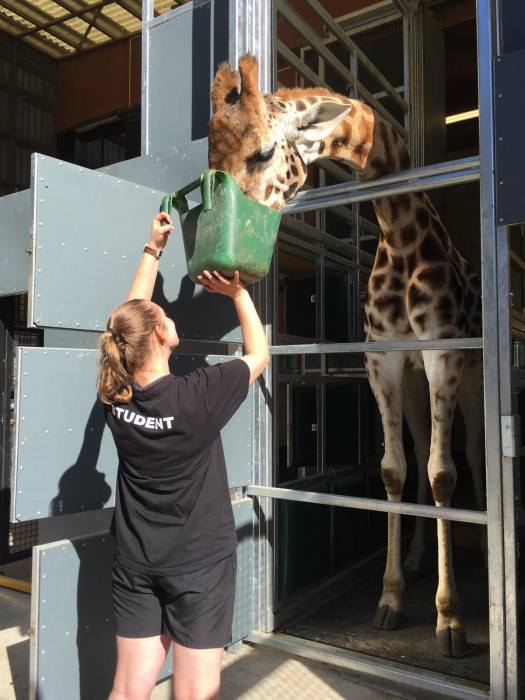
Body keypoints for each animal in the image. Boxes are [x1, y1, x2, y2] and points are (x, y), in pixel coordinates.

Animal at [208, 53, 484, 656]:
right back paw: (415, 558)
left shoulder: (443, 353)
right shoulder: (383, 361)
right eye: (210, 164)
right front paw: (391, 598)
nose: (223, 262)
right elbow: (393, 470)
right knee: (422, 449)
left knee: (472, 454)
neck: (400, 237)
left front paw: (450, 619)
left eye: (263, 151)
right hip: (413, 383)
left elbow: (443, 475)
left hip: (475, 376)